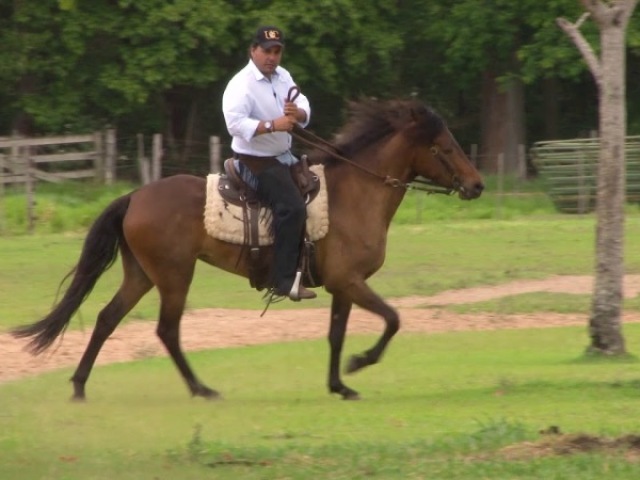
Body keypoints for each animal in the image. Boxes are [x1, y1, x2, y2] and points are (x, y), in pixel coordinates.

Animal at [12, 98, 482, 402]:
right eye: (443, 147)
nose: (476, 185)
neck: (355, 194)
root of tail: (135, 197)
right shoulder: (350, 281)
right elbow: (393, 318)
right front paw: (359, 363)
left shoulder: (342, 286)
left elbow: (336, 334)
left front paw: (339, 385)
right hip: (174, 276)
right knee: (166, 330)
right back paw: (201, 389)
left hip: (140, 275)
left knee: (108, 319)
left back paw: (79, 385)